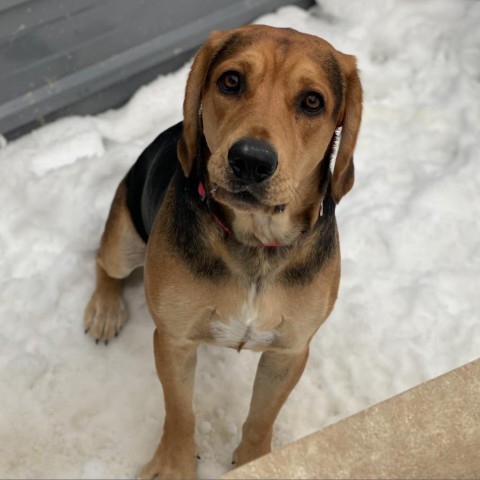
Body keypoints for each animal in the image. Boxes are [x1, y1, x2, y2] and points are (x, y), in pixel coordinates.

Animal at [83, 24, 360, 478]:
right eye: (231, 81)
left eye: (312, 101)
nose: (251, 160)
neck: (255, 243)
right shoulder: (174, 339)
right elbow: (180, 412)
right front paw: (173, 465)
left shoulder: (289, 351)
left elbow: (262, 417)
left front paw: (257, 462)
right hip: (124, 239)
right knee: (104, 263)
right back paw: (105, 310)